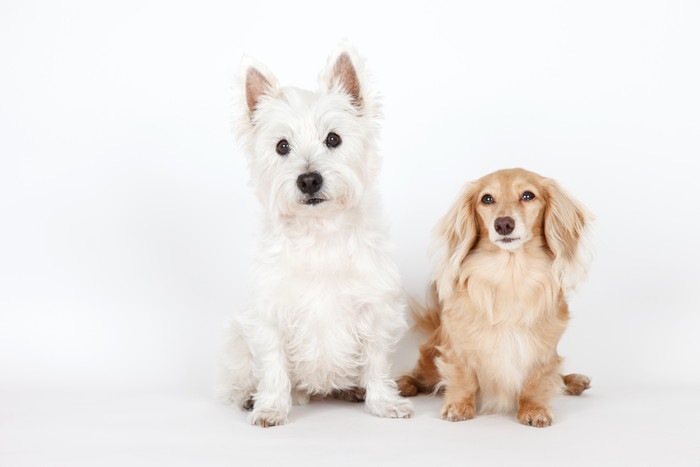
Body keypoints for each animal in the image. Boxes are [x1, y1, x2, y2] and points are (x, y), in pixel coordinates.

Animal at [219, 44, 412, 428]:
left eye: (333, 139)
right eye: (282, 146)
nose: (309, 180)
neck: (320, 232)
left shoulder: (375, 310)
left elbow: (377, 361)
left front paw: (384, 403)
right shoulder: (270, 316)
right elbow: (273, 367)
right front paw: (270, 408)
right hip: (237, 338)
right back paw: (250, 397)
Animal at [400, 168, 592, 428]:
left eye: (528, 195)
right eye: (487, 199)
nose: (503, 224)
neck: (510, 274)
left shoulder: (542, 349)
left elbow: (537, 380)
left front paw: (535, 408)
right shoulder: (459, 345)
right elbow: (463, 377)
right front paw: (459, 406)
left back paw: (572, 381)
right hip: (429, 360)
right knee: (420, 376)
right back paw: (403, 383)